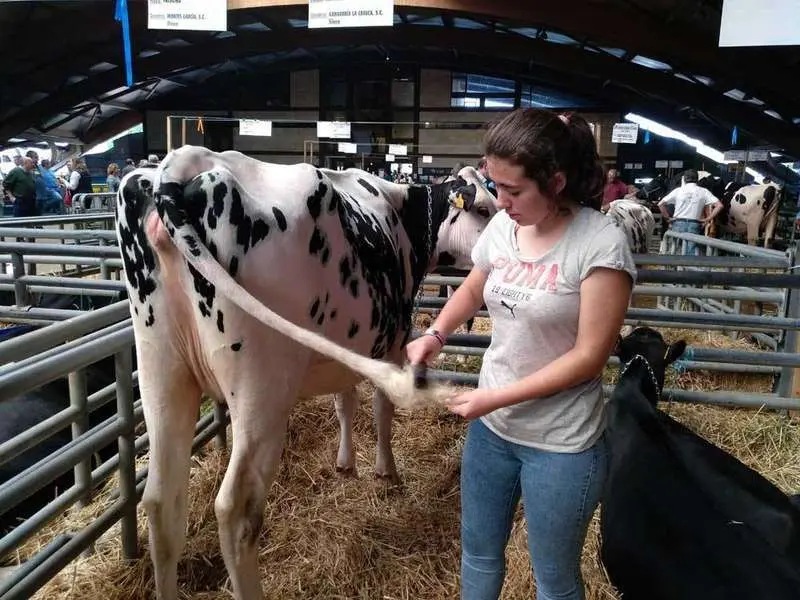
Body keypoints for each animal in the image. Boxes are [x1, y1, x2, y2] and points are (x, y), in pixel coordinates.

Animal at [115, 145, 495, 599]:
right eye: (485, 209)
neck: (403, 213)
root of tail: (189, 161)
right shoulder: (393, 340)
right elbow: (382, 409)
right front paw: (386, 472)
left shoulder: (346, 347)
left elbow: (344, 402)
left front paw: (345, 464)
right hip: (262, 388)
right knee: (236, 509)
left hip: (161, 368)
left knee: (160, 502)